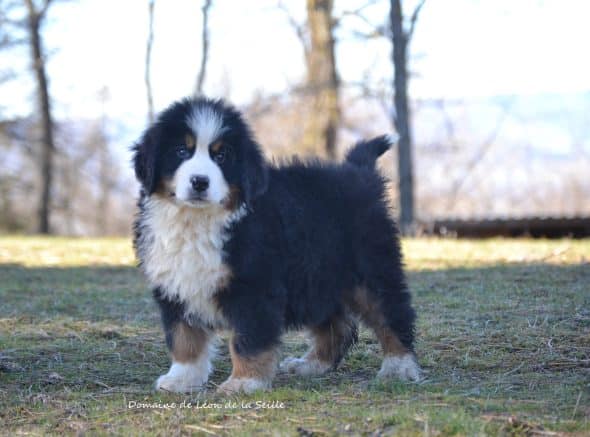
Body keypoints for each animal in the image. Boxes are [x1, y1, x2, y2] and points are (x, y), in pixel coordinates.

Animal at [132, 97, 424, 394]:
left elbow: (248, 339)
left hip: (371, 267)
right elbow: (184, 337)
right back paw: (311, 364)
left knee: (392, 313)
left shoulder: (254, 287)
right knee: (338, 326)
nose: (200, 182)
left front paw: (244, 382)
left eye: (222, 156)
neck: (197, 220)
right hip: (315, 277)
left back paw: (398, 366)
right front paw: (182, 378)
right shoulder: (175, 284)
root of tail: (358, 171)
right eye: (181, 151)